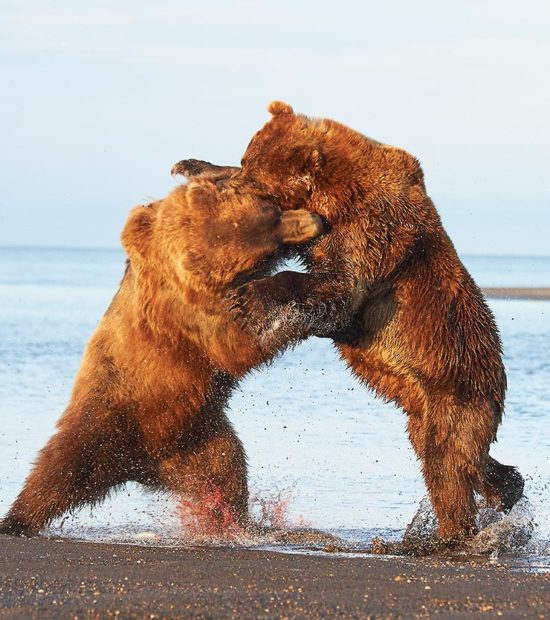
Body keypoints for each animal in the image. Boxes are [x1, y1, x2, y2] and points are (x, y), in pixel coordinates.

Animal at [0, 176, 326, 536]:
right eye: (273, 217)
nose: (315, 219)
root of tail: (141, 466)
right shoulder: (186, 310)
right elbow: (238, 344)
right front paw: (300, 318)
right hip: (107, 415)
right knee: (57, 472)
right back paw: (15, 520)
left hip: (199, 438)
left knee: (226, 472)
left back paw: (235, 522)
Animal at [172, 103, 528, 548]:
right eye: (246, 161)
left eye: (256, 176)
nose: (234, 190)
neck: (335, 195)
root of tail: (497, 381)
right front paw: (191, 165)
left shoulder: (371, 230)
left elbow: (338, 291)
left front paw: (250, 296)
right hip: (427, 412)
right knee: (465, 462)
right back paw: (507, 491)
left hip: (455, 393)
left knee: (448, 465)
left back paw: (443, 535)